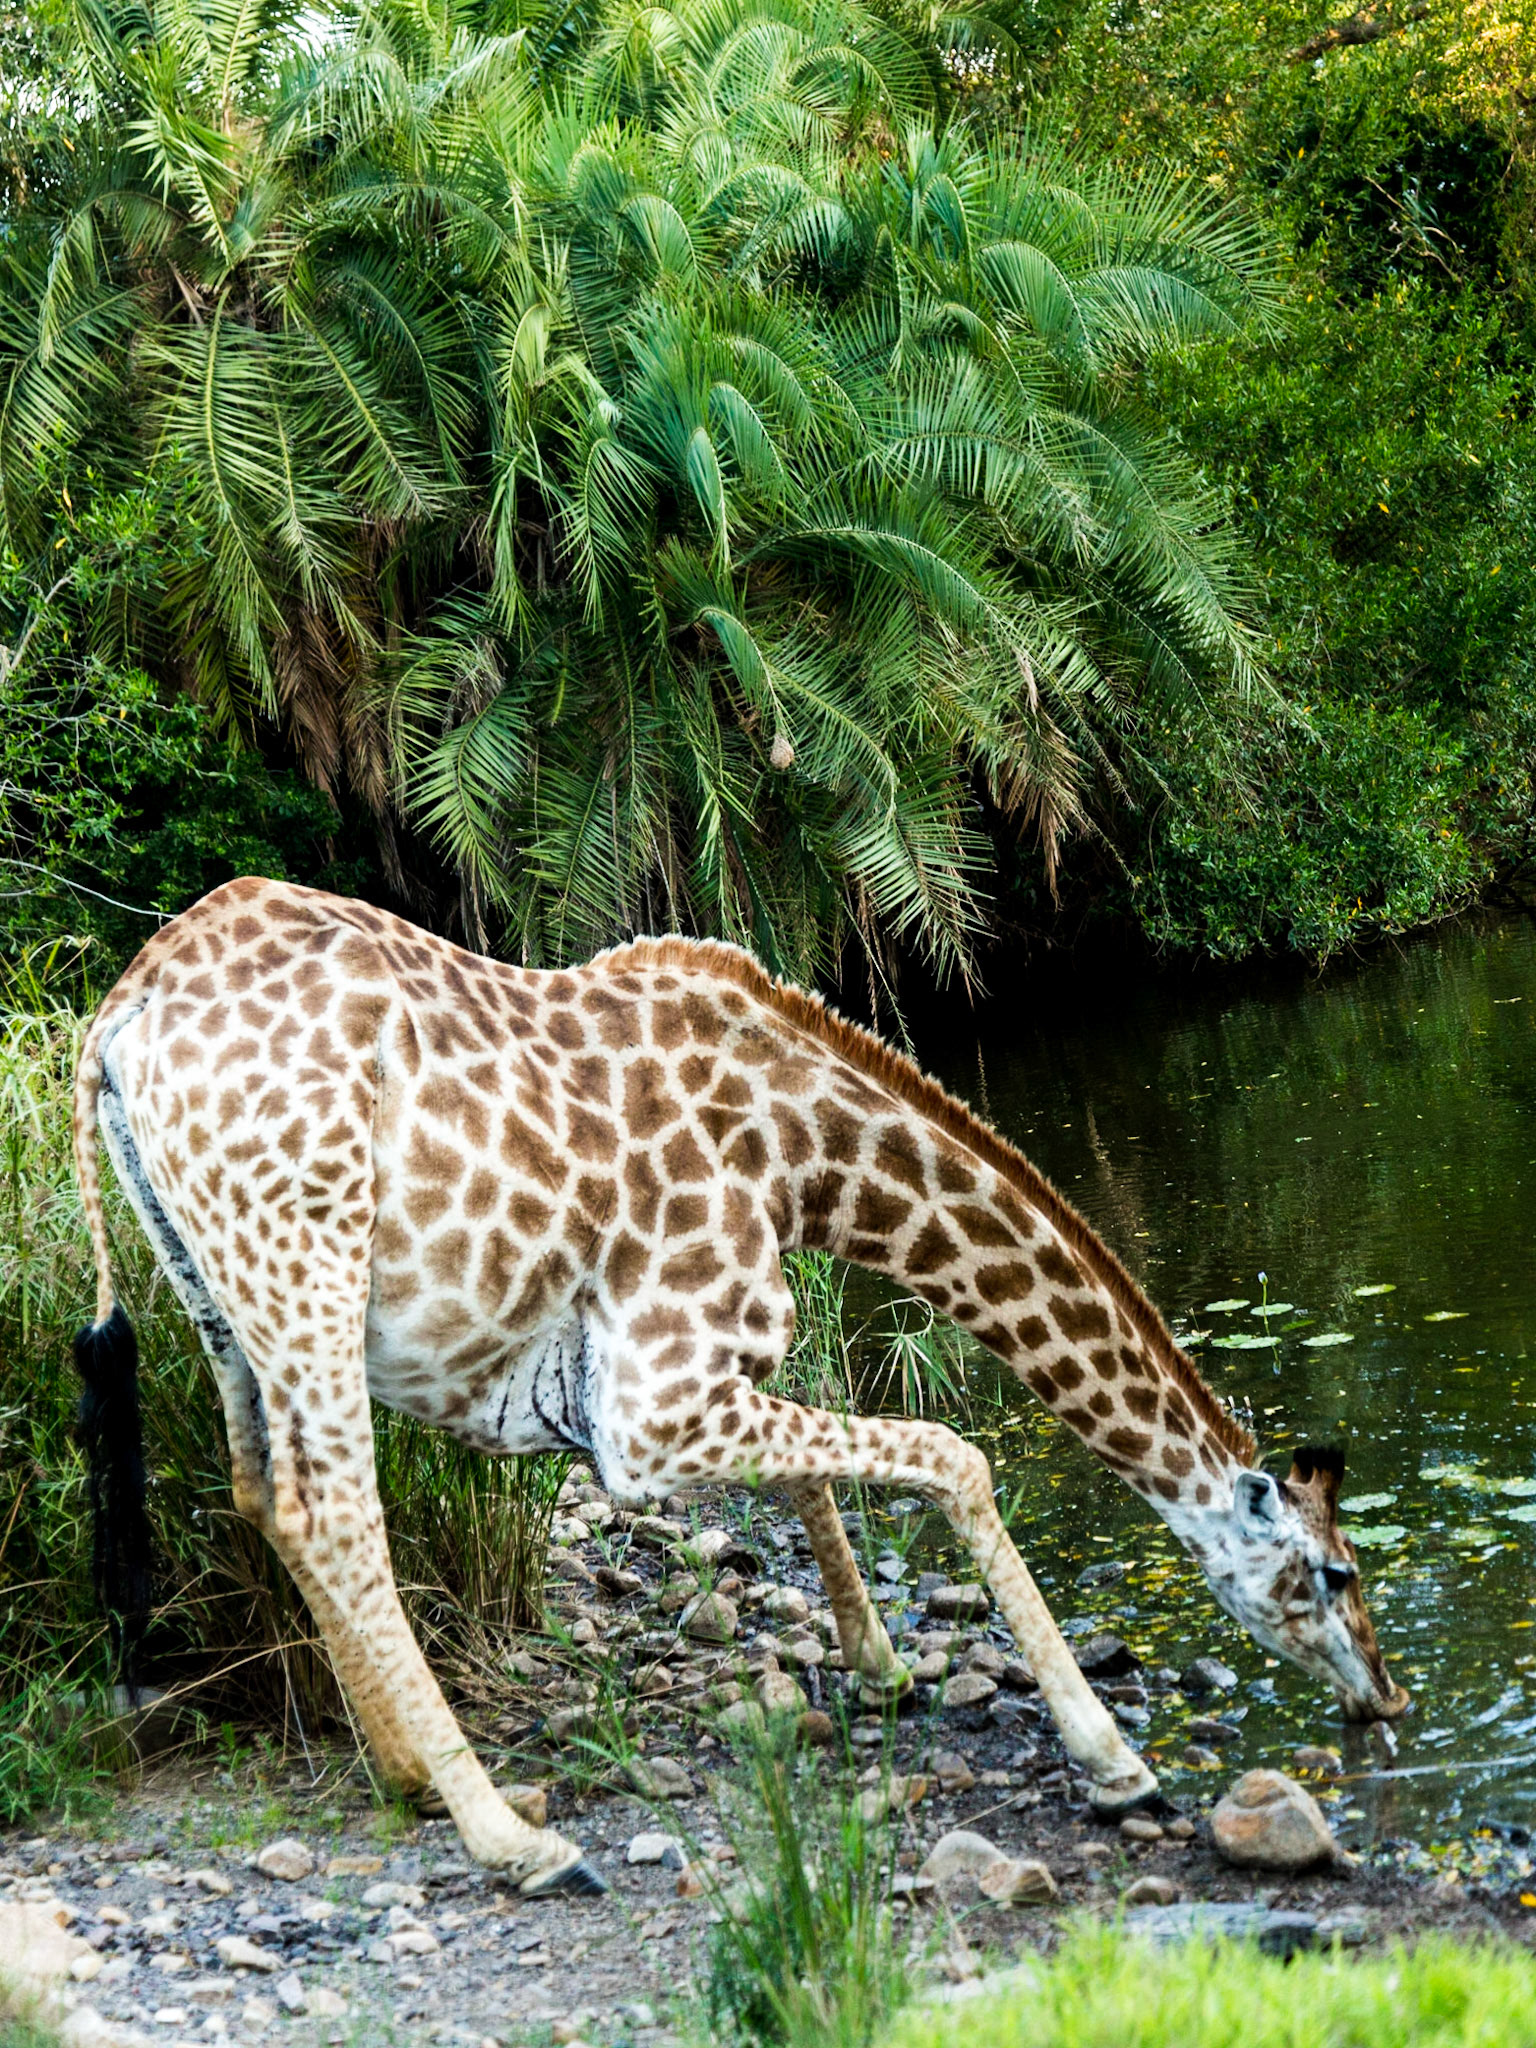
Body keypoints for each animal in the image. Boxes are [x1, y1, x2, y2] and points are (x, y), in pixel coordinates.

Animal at [72, 878, 1407, 1893]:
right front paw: (1111, 1753)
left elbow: (818, 1474)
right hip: (309, 1258)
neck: (804, 1156)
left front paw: (881, 1664)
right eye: (1335, 1573)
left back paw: (407, 1772)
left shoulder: (713, 1372)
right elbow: (954, 1454)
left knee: (260, 1488)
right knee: (333, 1506)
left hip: (220, 1287)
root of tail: (117, 1021)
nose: (1389, 1695)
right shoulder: (649, 1416)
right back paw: (509, 1835)